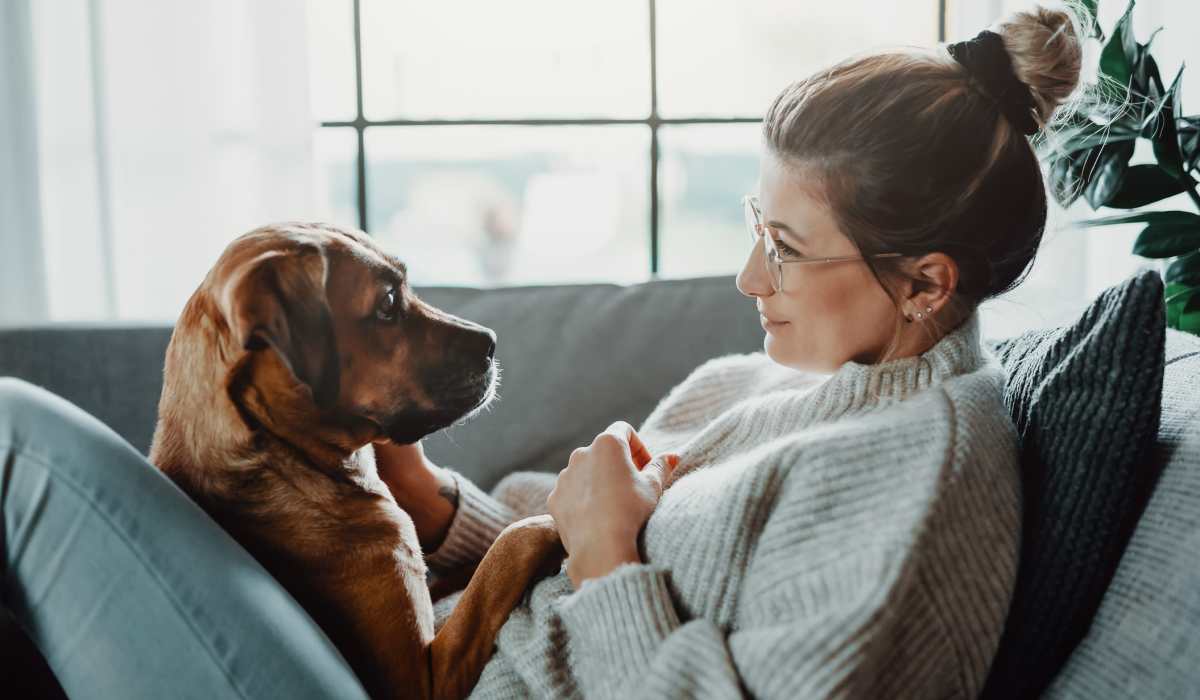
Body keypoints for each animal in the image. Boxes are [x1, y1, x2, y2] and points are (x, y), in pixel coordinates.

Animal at [148, 224, 561, 700]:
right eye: (387, 303)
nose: (493, 342)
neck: (285, 461)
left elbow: (473, 568)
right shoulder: (421, 680)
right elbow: (508, 548)